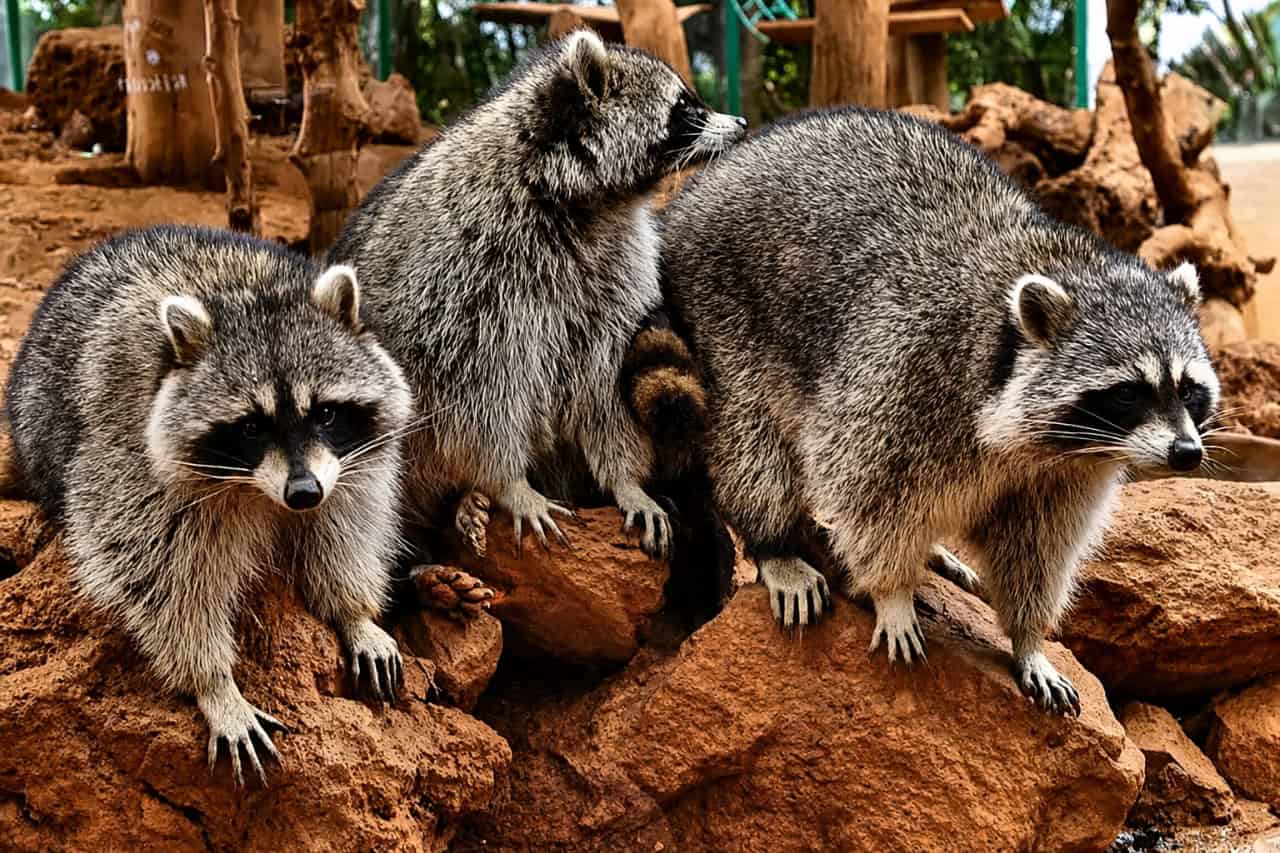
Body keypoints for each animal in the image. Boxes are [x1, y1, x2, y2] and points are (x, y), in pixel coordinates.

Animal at [5, 226, 413, 783]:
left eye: (326, 413)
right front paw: (214, 683)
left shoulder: (350, 464)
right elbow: (161, 577)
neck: (243, 292)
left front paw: (354, 612)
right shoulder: (132, 466)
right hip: (40, 415)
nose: (303, 493)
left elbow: (345, 525)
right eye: (250, 427)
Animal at [327, 30, 746, 560]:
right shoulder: (461, 274)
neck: (583, 198)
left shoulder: (616, 269)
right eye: (685, 107)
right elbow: (477, 390)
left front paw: (625, 479)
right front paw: (509, 482)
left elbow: (603, 381)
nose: (742, 123)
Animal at [659, 108, 1219, 715]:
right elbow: (867, 487)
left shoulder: (1063, 473)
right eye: (1130, 392)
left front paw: (1028, 638)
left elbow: (1038, 548)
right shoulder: (909, 369)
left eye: (1188, 390)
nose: (1186, 453)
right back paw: (775, 542)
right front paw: (891, 592)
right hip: (721, 309)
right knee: (751, 440)